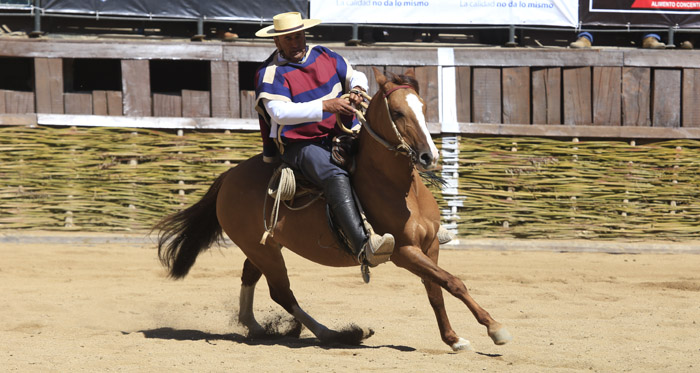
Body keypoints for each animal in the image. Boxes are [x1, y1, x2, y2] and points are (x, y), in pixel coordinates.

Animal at [156, 68, 512, 350]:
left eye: (423, 107)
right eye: (397, 112)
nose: (428, 156)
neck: (399, 190)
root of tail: (229, 177)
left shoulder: (430, 246)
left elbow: (437, 290)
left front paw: (453, 339)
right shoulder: (405, 252)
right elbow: (453, 282)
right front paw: (495, 329)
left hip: (263, 246)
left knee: (250, 276)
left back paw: (255, 328)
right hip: (266, 252)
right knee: (282, 293)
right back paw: (334, 334)